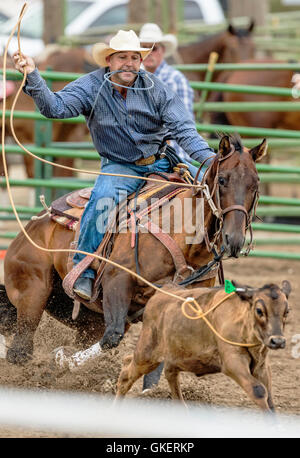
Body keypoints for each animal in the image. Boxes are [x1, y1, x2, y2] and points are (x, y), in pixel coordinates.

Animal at [0, 133, 268, 364]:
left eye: (256, 184)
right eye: (222, 180)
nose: (234, 239)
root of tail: (31, 227)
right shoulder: (117, 278)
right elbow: (113, 336)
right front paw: (63, 362)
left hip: (84, 314)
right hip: (33, 293)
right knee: (20, 351)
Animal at [116, 280, 292, 412]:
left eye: (287, 311)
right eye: (259, 310)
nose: (277, 341)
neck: (242, 322)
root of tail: (161, 293)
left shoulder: (261, 366)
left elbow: (270, 400)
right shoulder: (233, 362)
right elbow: (258, 391)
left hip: (173, 355)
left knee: (168, 374)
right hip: (147, 354)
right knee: (126, 375)